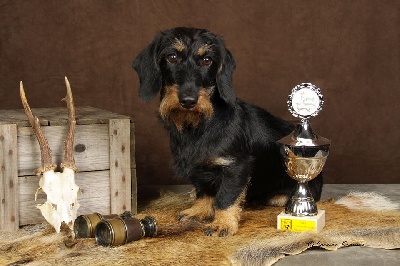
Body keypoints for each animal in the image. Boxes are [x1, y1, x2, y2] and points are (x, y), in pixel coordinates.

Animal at [133, 27, 324, 236]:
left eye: (207, 60)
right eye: (172, 57)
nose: (188, 101)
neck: (197, 125)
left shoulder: (235, 166)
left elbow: (226, 197)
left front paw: (222, 223)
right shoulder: (199, 168)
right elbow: (204, 191)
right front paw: (199, 211)